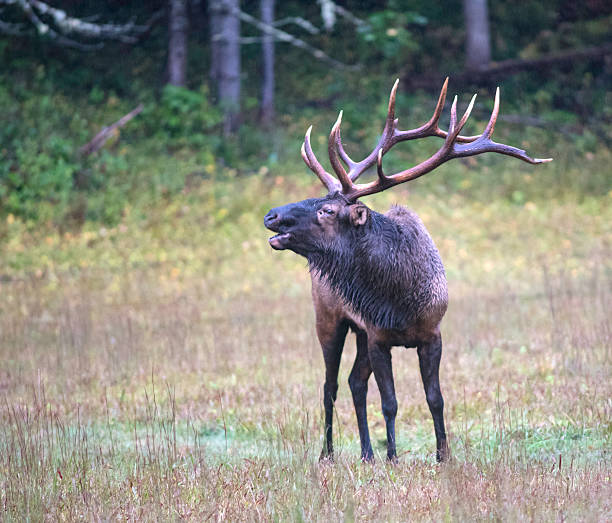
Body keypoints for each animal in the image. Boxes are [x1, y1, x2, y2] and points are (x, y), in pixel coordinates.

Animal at [262, 78, 548, 462]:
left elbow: (435, 398)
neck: (399, 297)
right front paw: (394, 458)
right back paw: (328, 454)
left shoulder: (431, 334)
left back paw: (367, 453)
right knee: (329, 385)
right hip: (329, 318)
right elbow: (390, 402)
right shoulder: (379, 337)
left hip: (359, 332)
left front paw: (443, 455)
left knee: (354, 382)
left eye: (327, 210)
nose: (271, 215)